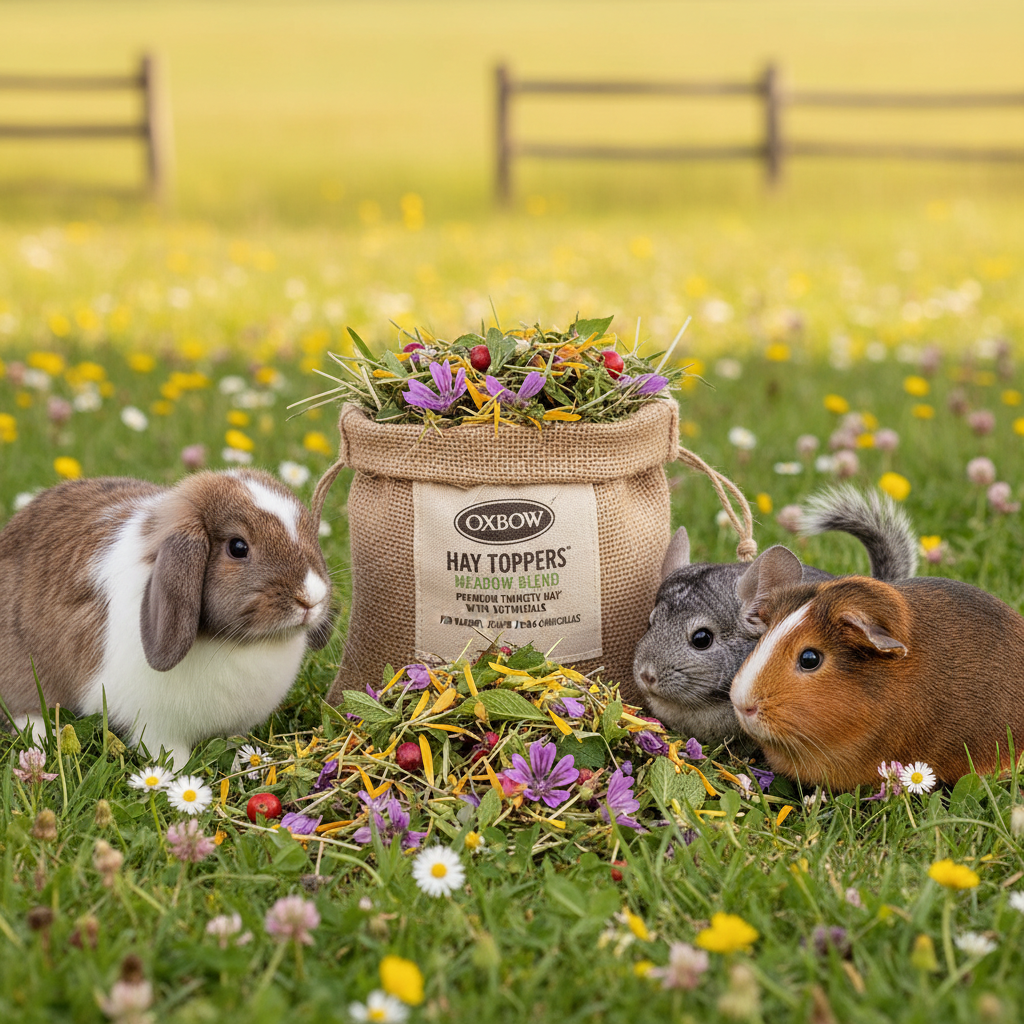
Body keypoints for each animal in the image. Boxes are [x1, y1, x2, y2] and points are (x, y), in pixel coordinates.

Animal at [0, 468, 335, 768]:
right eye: (238, 547)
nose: (311, 597)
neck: (241, 643)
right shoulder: (157, 726)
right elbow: (169, 754)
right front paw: (177, 776)